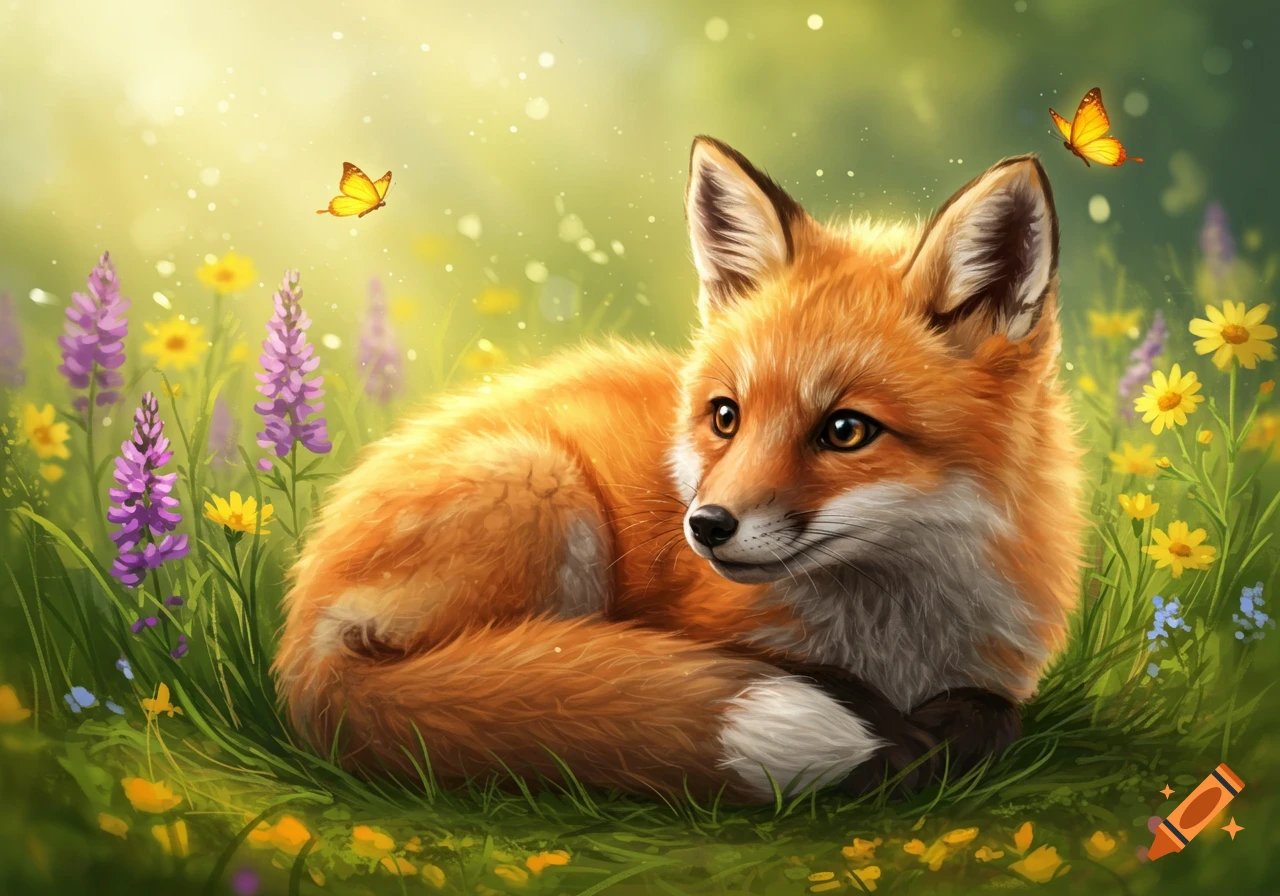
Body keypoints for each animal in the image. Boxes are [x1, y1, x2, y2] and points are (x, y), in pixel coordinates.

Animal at [274, 136, 1083, 802]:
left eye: (846, 430)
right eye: (726, 416)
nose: (706, 526)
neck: (898, 638)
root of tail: (301, 646)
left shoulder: (990, 673)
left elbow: (992, 715)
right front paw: (890, 745)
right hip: (545, 489)